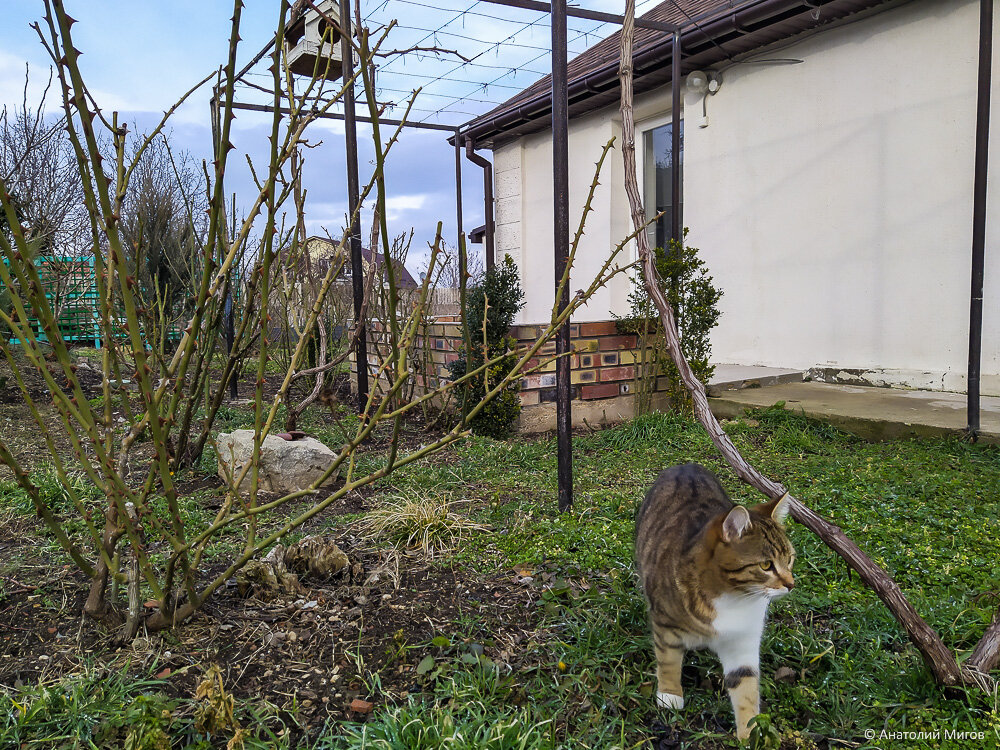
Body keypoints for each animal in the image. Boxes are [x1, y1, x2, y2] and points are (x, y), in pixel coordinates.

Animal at [636, 464, 792, 740]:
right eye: (766, 565)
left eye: (790, 559)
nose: (791, 584)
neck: (735, 597)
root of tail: (685, 465)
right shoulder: (665, 623)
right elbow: (668, 659)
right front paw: (670, 693)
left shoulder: (743, 640)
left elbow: (745, 686)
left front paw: (749, 733)